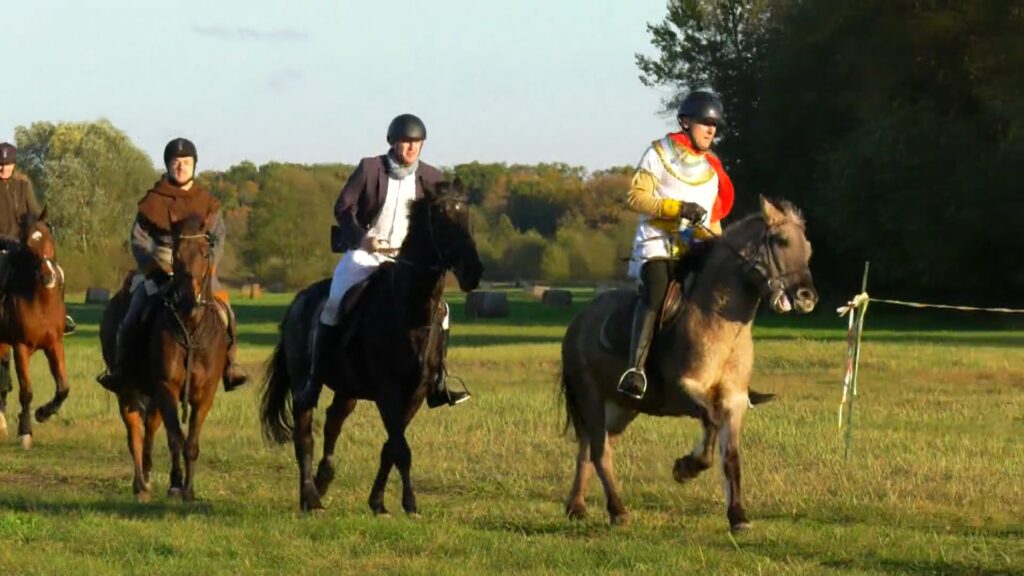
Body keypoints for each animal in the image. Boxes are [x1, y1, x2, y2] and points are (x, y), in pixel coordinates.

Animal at [0, 208, 69, 446]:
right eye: (26, 245)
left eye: (49, 237)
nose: (47, 276)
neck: (40, 301)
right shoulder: (21, 347)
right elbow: (26, 391)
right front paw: (25, 432)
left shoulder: (54, 344)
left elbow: (63, 388)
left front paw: (43, 413)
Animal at [99, 213, 228, 500]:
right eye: (176, 255)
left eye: (205, 253)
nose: (188, 299)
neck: (190, 328)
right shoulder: (167, 387)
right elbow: (175, 438)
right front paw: (175, 484)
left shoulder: (205, 394)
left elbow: (191, 442)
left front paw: (189, 490)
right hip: (128, 390)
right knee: (135, 433)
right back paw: (140, 484)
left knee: (149, 427)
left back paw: (147, 474)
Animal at [264, 182, 487, 510]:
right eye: (442, 219)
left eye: (467, 216)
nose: (473, 272)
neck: (408, 311)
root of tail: (297, 302)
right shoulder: (388, 391)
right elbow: (400, 448)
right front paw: (409, 503)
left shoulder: (415, 393)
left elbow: (391, 447)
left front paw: (378, 501)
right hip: (305, 383)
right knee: (304, 431)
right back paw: (311, 498)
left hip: (348, 389)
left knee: (333, 423)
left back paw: (323, 480)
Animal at [561, 195, 815, 528]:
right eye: (782, 241)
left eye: (808, 248)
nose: (807, 297)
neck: (717, 321)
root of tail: (578, 322)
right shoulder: (685, 390)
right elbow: (710, 423)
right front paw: (686, 467)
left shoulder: (734, 401)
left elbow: (730, 456)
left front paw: (738, 516)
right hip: (591, 397)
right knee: (598, 451)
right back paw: (617, 510)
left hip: (621, 407)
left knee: (592, 449)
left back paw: (577, 505)